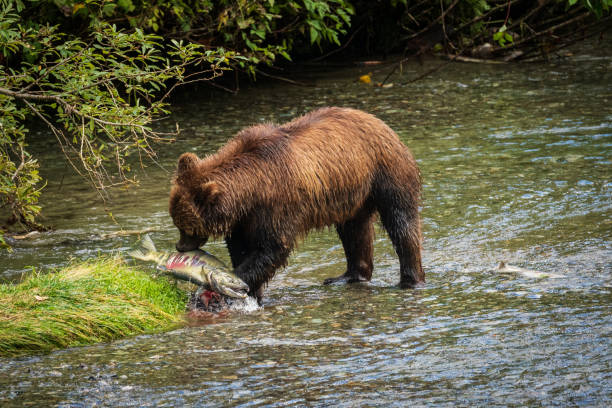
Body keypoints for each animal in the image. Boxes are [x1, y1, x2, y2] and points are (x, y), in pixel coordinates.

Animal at [170, 107, 424, 304]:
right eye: (176, 222)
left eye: (186, 227)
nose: (180, 246)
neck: (249, 188)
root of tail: (380, 122)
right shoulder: (243, 218)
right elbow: (240, 248)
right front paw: (252, 293)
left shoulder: (277, 203)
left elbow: (272, 247)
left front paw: (226, 287)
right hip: (353, 193)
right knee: (354, 231)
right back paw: (347, 276)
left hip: (385, 172)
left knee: (401, 222)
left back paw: (410, 280)